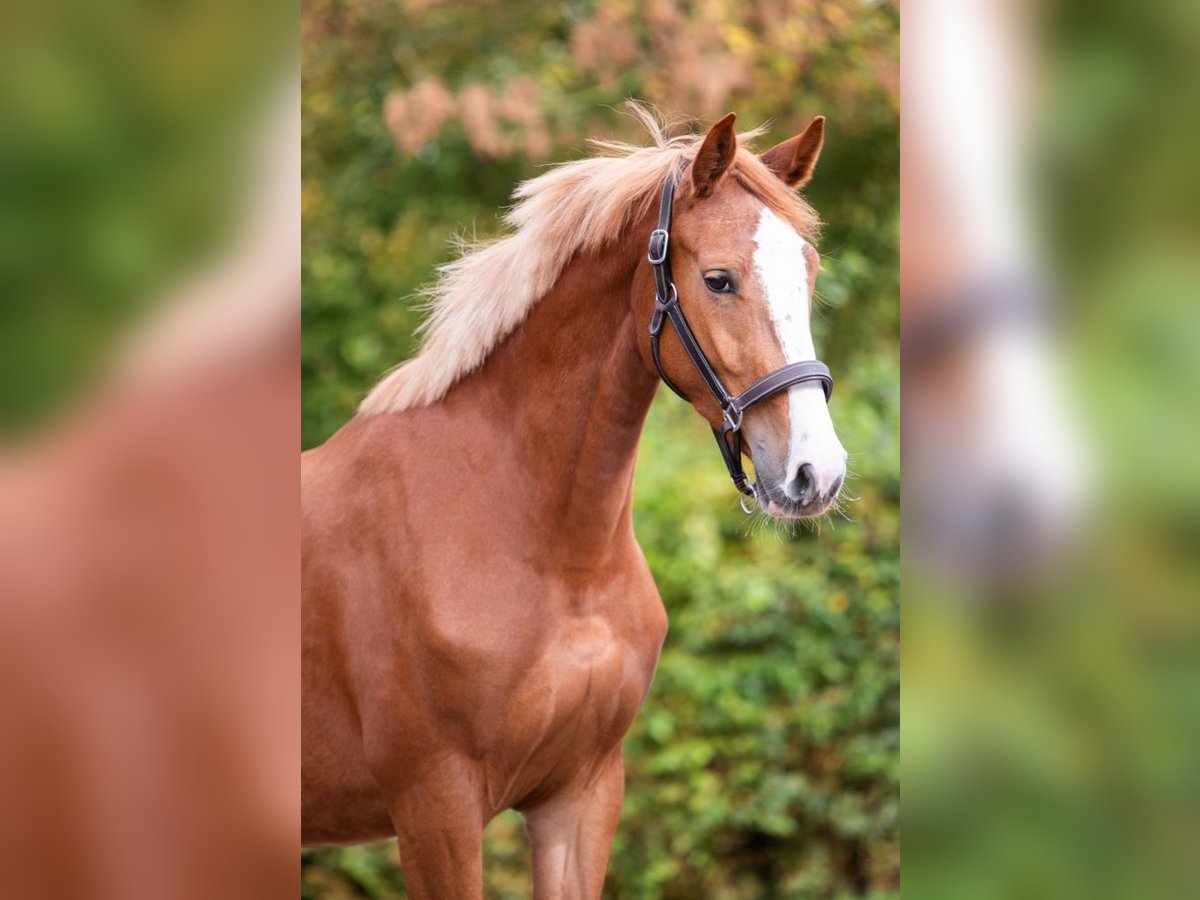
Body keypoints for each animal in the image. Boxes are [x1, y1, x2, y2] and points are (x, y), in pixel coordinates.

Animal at [300, 114, 844, 900]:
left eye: (810, 271)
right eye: (718, 279)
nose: (815, 473)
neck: (555, 557)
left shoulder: (580, 797)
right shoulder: (436, 805)